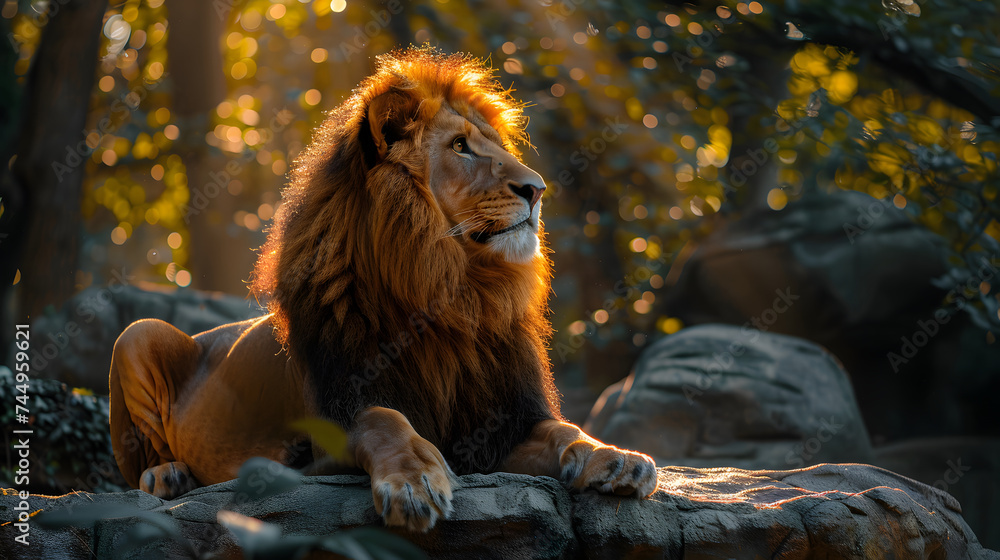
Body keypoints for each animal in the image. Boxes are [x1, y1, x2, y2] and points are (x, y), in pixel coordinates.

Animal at [109, 47, 657, 532]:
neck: (450, 294)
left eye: (497, 147)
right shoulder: (333, 426)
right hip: (138, 333)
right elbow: (384, 418)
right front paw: (414, 481)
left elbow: (565, 430)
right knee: (137, 468)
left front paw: (614, 456)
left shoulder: (501, 425)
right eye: (460, 147)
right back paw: (168, 476)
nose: (537, 189)